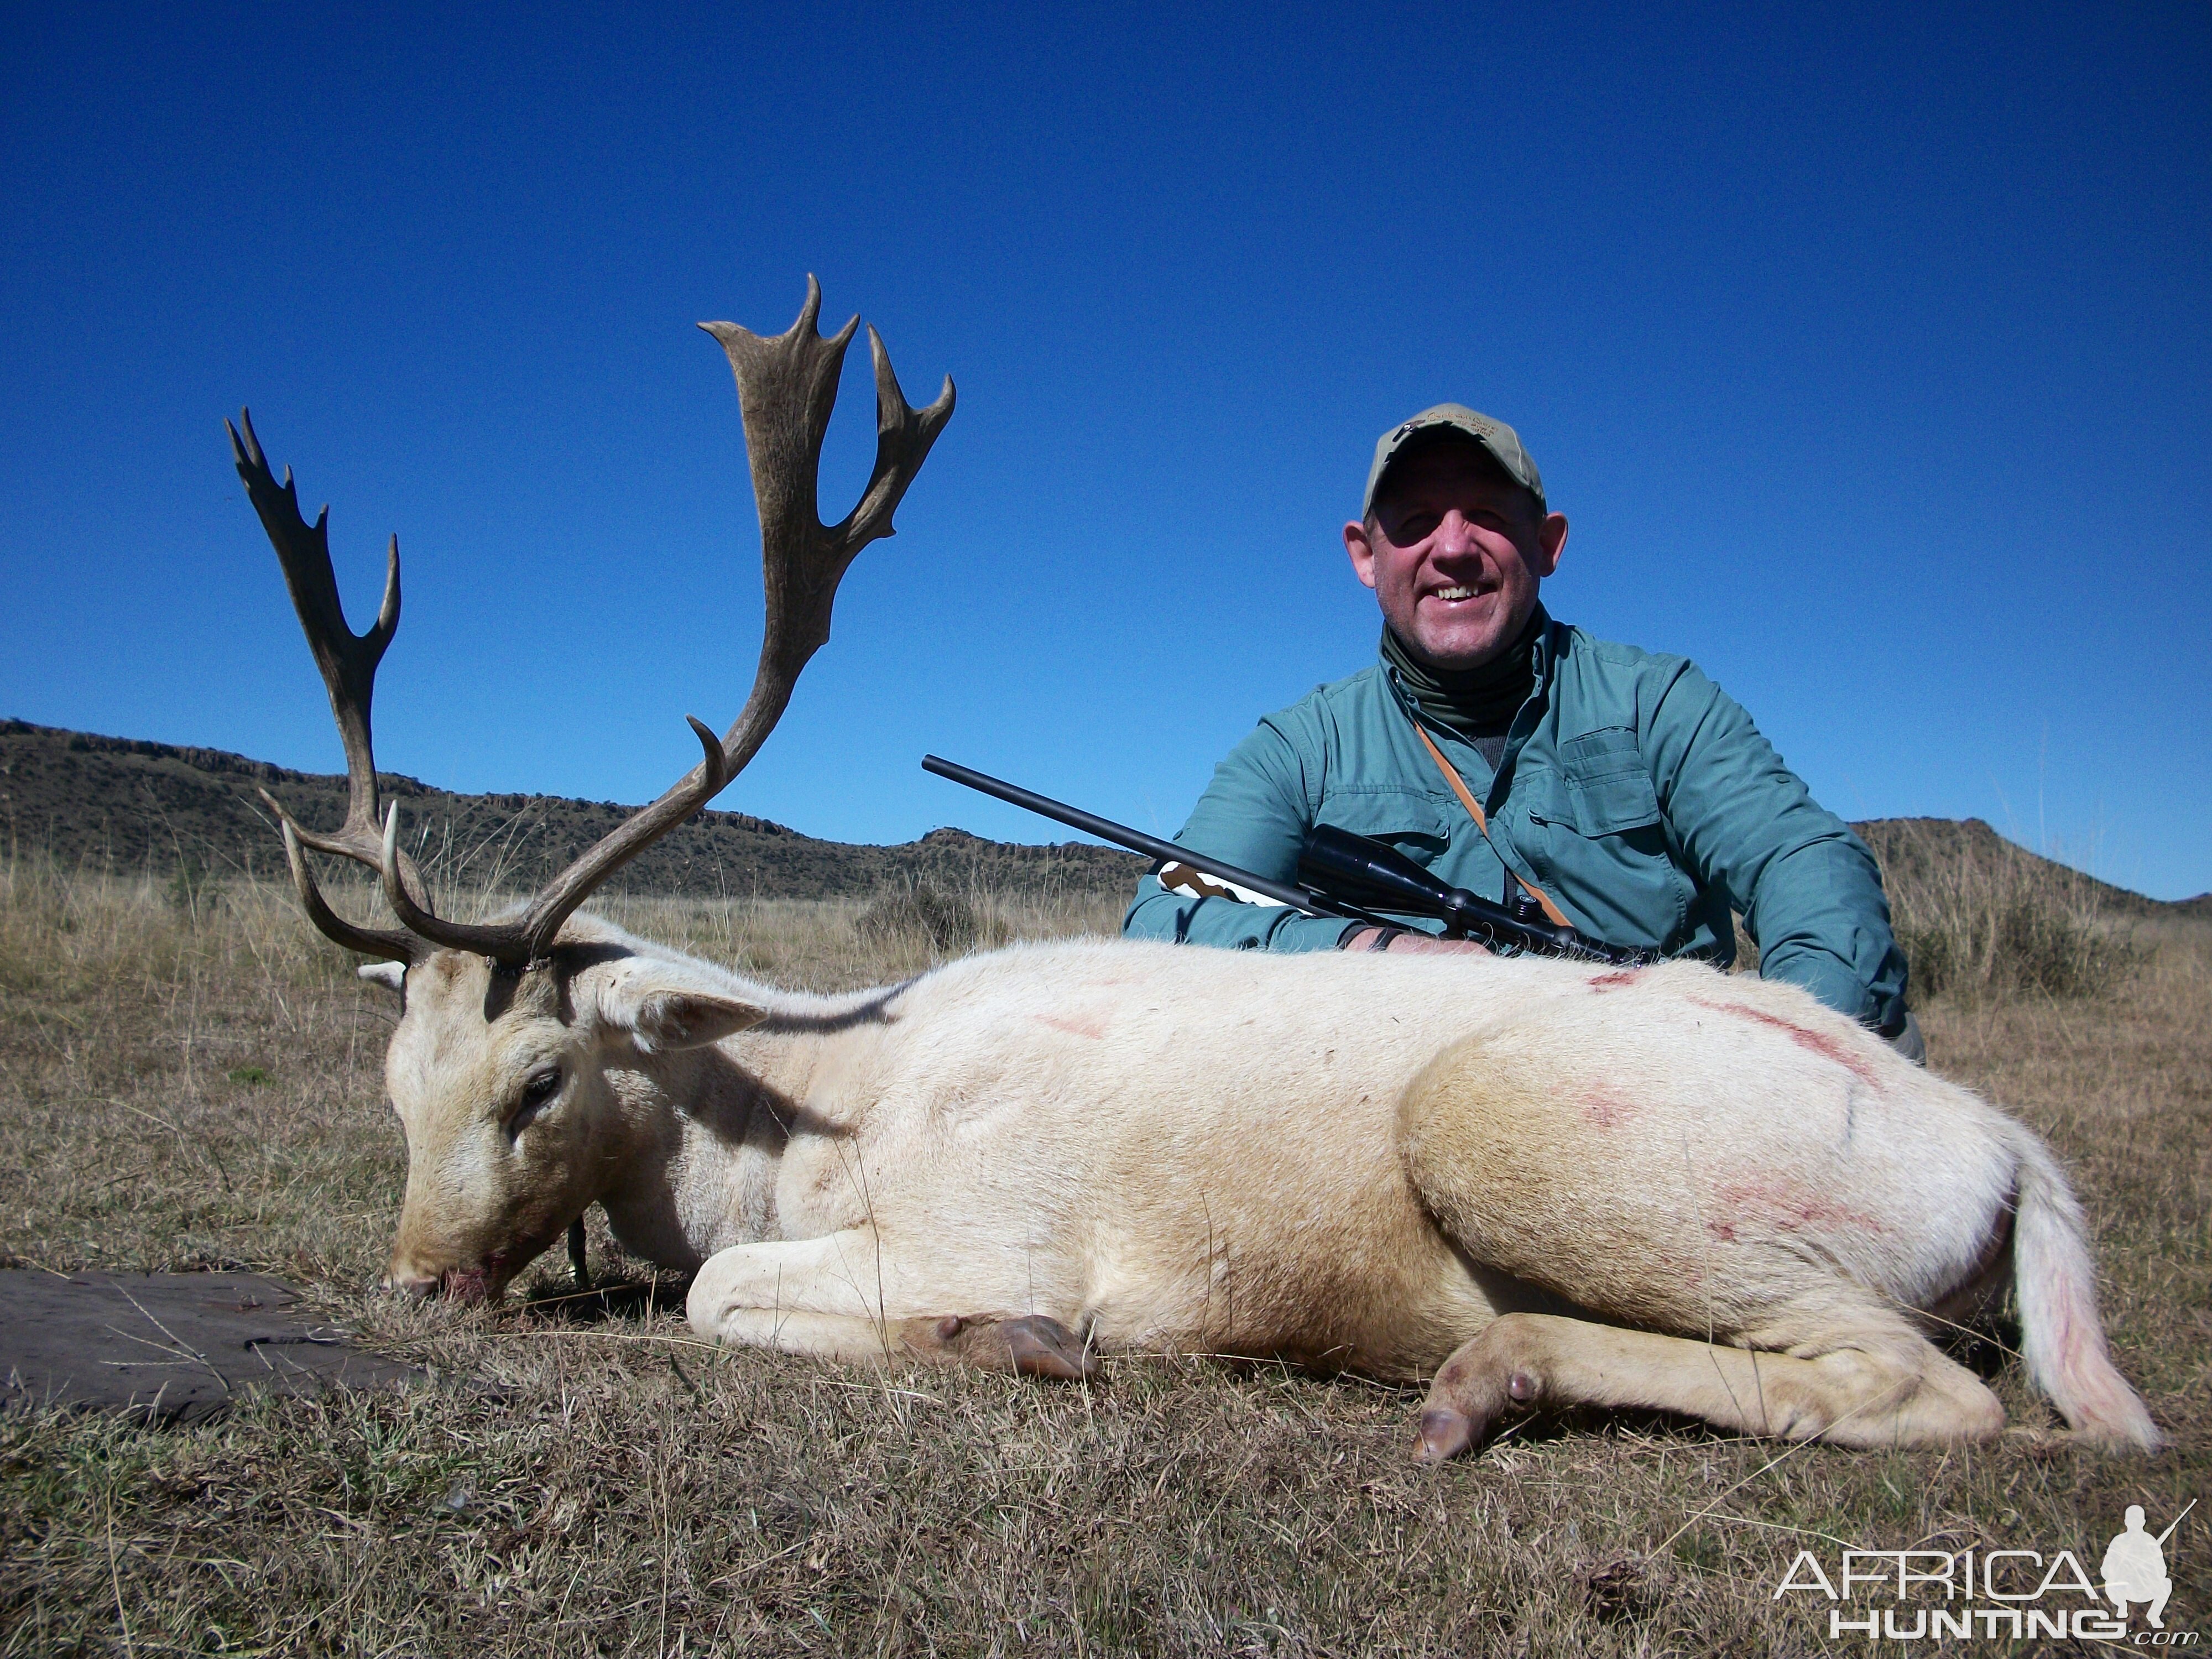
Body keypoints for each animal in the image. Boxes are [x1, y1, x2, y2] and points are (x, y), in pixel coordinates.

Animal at [238, 285, 2159, 1469]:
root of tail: (2009, 1151)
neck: (800, 1123)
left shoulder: (986, 1220)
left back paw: (1480, 1376)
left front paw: (1023, 1341)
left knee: (1937, 1388)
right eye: (395, 1080)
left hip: (1532, 1141)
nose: (413, 1280)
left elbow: (722, 1302)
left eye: (542, 1076)